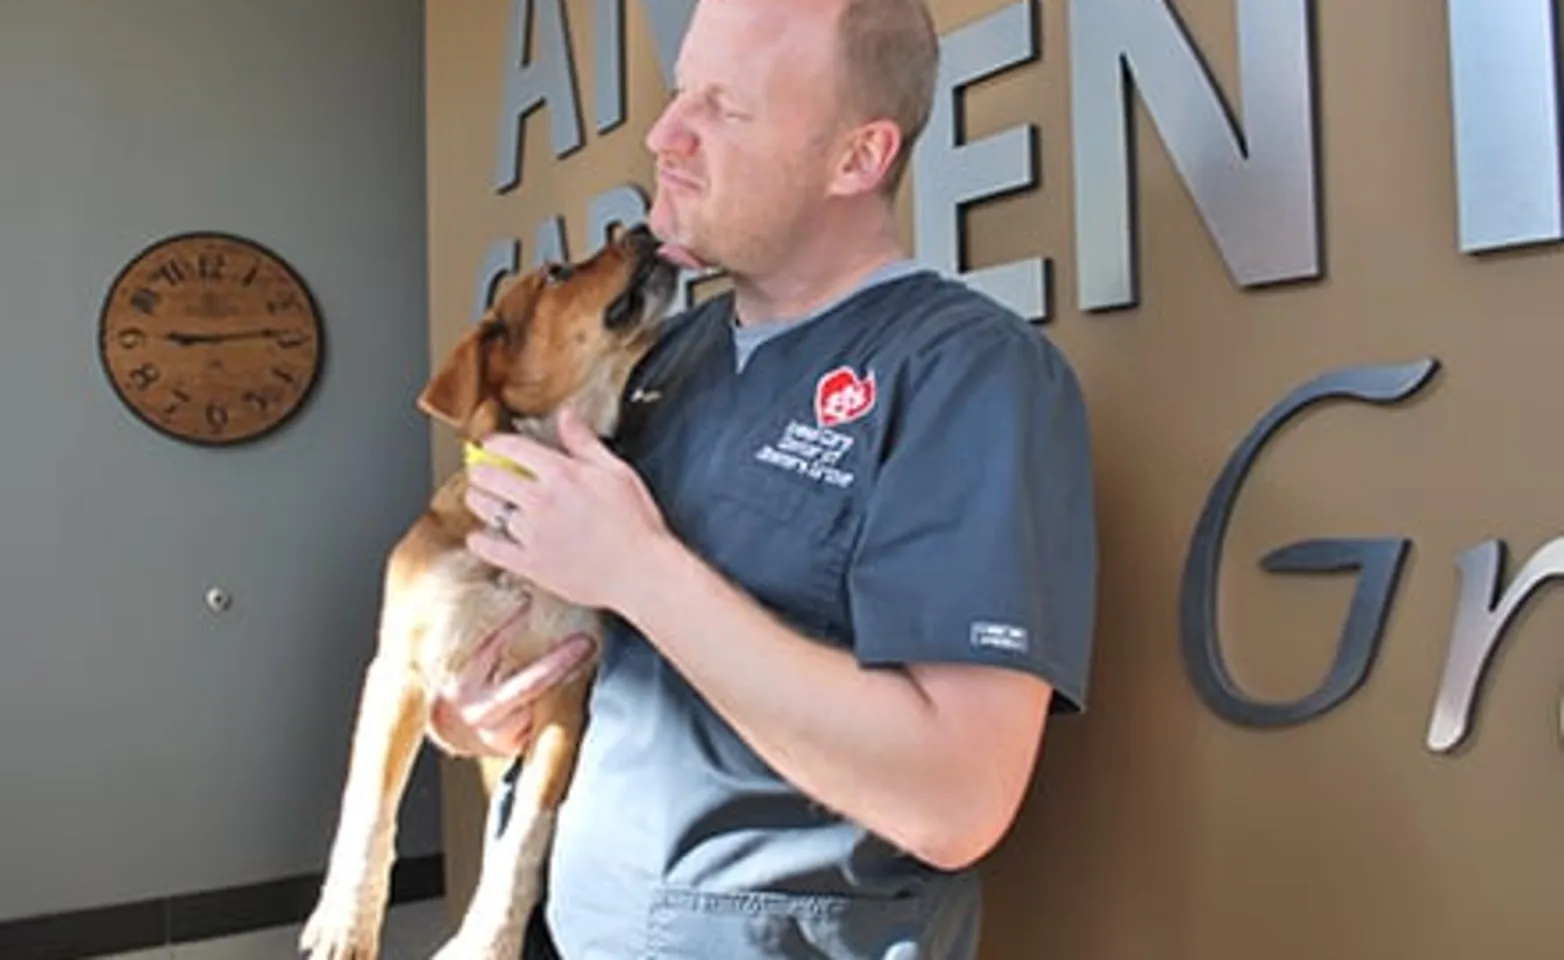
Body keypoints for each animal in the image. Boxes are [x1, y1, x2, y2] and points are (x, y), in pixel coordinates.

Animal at [298, 225, 678, 960]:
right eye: (557, 272)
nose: (643, 227)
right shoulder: (400, 670)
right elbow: (368, 807)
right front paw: (344, 922)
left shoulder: (567, 690)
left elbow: (526, 833)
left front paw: (488, 938)